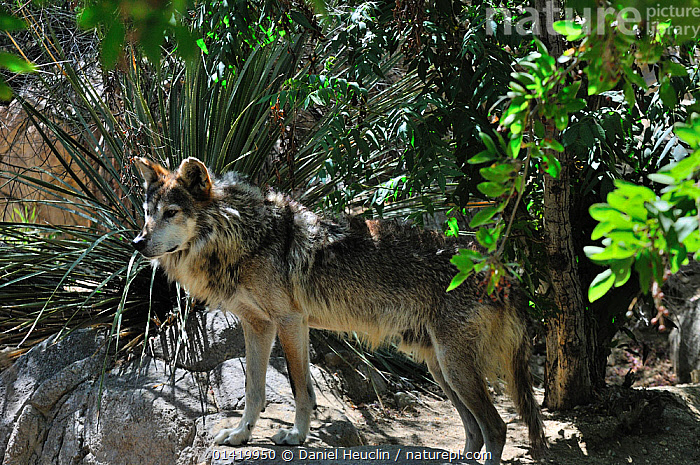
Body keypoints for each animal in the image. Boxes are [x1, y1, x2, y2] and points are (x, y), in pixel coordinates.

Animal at [131, 158, 548, 462]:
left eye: (171, 212)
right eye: (147, 212)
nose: (137, 242)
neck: (245, 238)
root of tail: (501, 271)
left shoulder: (290, 322)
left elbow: (300, 389)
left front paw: (295, 436)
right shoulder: (258, 326)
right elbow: (254, 391)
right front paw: (239, 435)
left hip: (454, 368)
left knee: (496, 428)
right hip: (440, 369)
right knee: (474, 429)